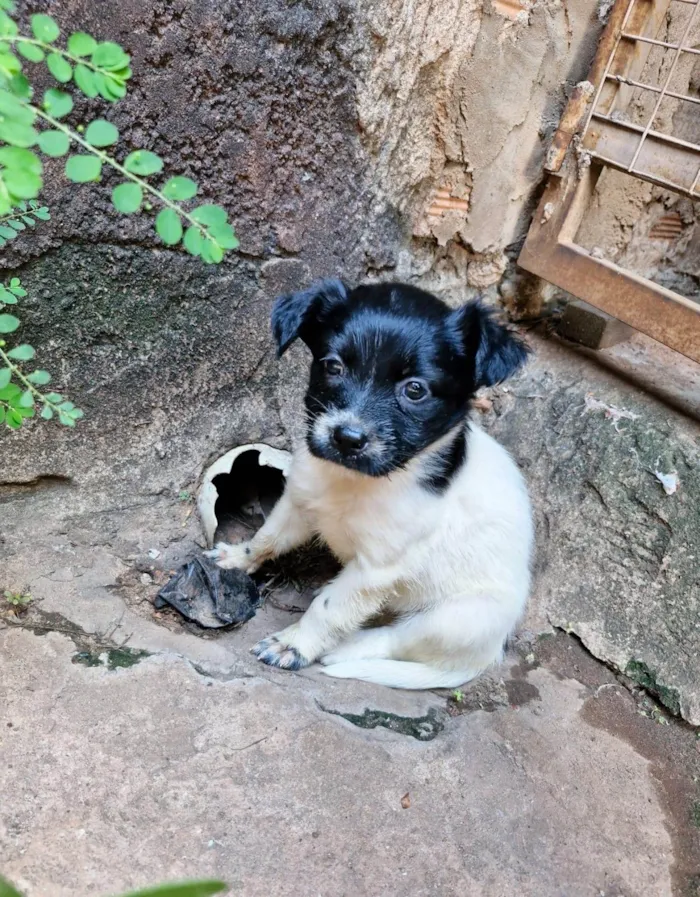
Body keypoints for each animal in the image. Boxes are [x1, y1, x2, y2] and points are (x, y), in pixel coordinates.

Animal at [205, 280, 532, 688]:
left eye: (415, 390)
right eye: (333, 366)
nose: (346, 438)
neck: (355, 480)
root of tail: (485, 656)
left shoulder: (376, 569)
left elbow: (327, 609)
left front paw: (294, 645)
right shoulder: (300, 501)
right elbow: (266, 538)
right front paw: (236, 558)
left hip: (455, 620)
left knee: (396, 639)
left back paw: (345, 647)